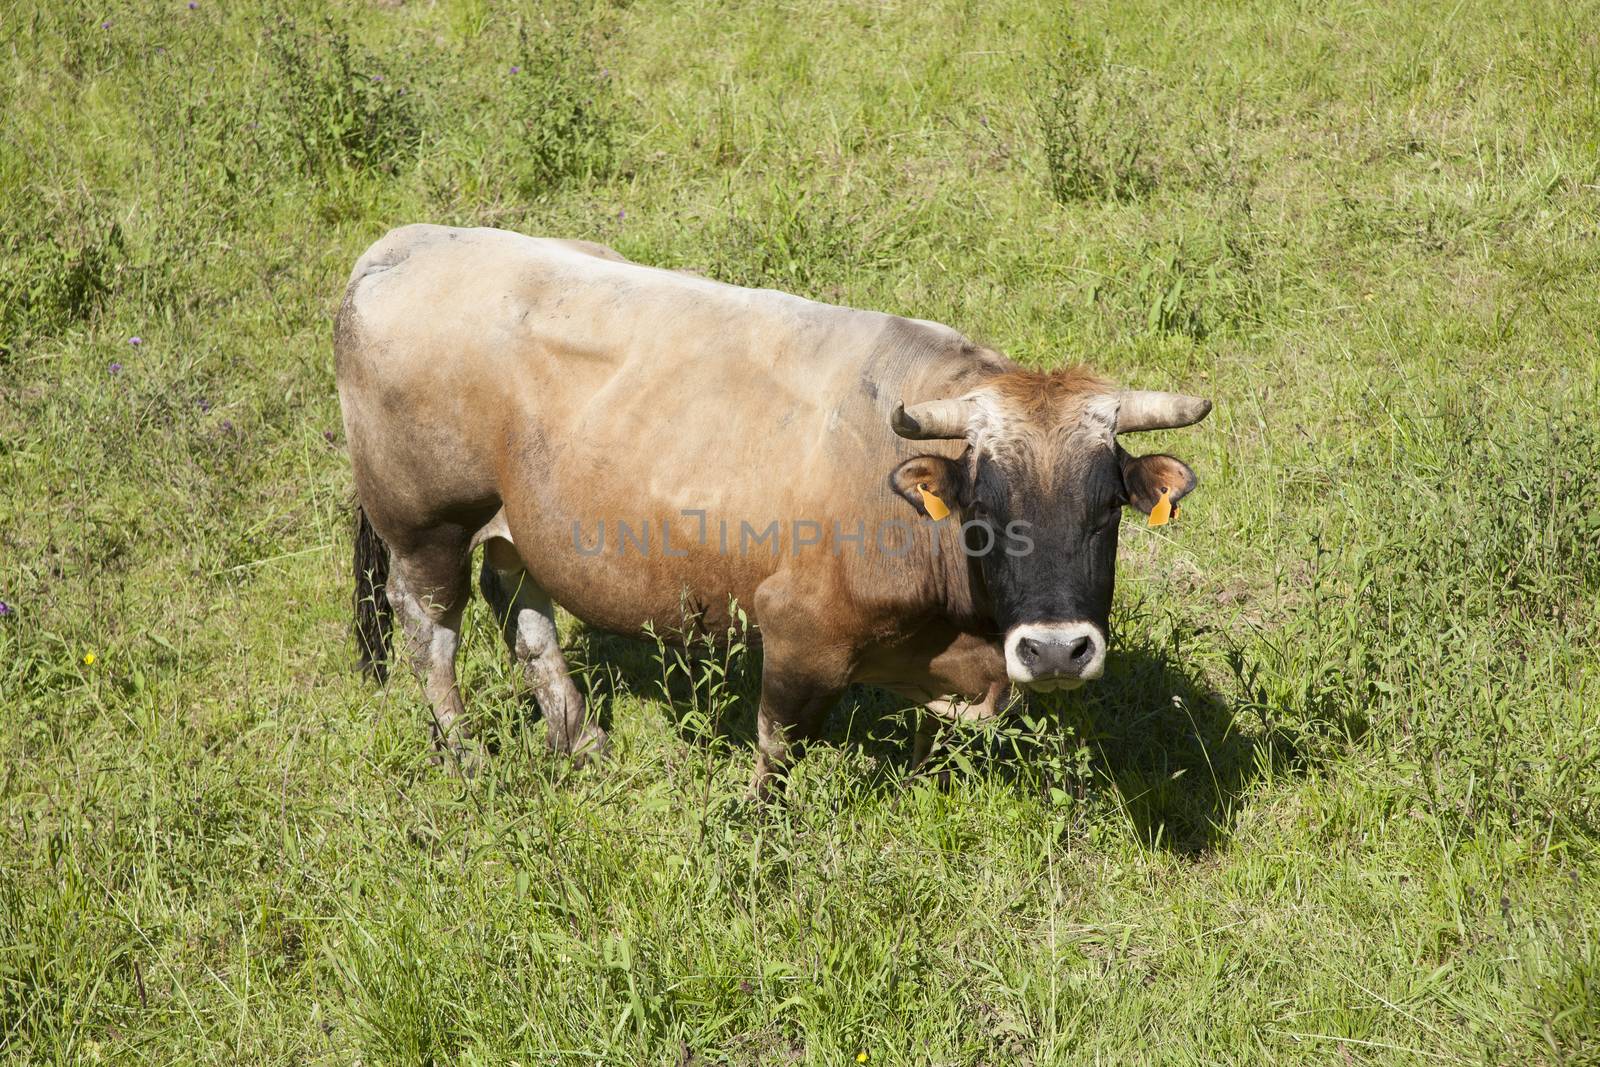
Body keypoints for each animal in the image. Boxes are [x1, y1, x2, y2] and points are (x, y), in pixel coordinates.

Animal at [340, 225, 1209, 793]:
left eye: (1107, 507)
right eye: (985, 508)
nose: (1057, 651)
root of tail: (397, 247)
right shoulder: (797, 629)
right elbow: (776, 748)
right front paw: (759, 828)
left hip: (517, 527)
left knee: (524, 613)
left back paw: (580, 741)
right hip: (424, 526)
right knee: (430, 635)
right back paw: (467, 757)